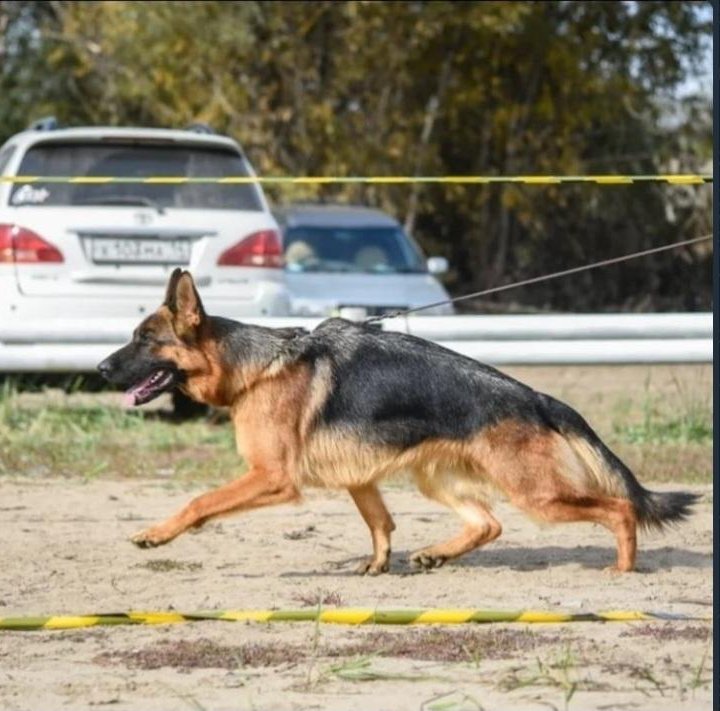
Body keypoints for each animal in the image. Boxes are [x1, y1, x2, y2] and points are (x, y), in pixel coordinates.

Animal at [98, 270, 696, 576]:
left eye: (145, 341)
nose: (101, 368)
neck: (252, 368)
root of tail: (539, 398)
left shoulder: (272, 478)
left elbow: (199, 501)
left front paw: (157, 534)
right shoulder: (359, 477)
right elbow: (380, 522)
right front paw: (378, 565)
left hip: (538, 495)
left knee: (618, 509)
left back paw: (623, 569)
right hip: (438, 478)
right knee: (489, 523)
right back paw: (437, 554)